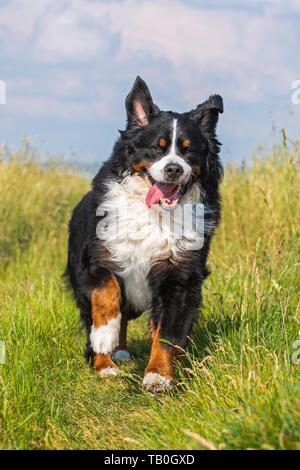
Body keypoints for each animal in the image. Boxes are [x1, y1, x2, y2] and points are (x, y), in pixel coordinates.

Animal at [67, 77, 224, 392]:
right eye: (157, 148)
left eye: (189, 150)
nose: (173, 169)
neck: (156, 214)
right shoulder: (99, 257)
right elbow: (107, 295)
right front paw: (103, 338)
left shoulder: (179, 275)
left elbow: (166, 333)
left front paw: (158, 375)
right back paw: (107, 362)